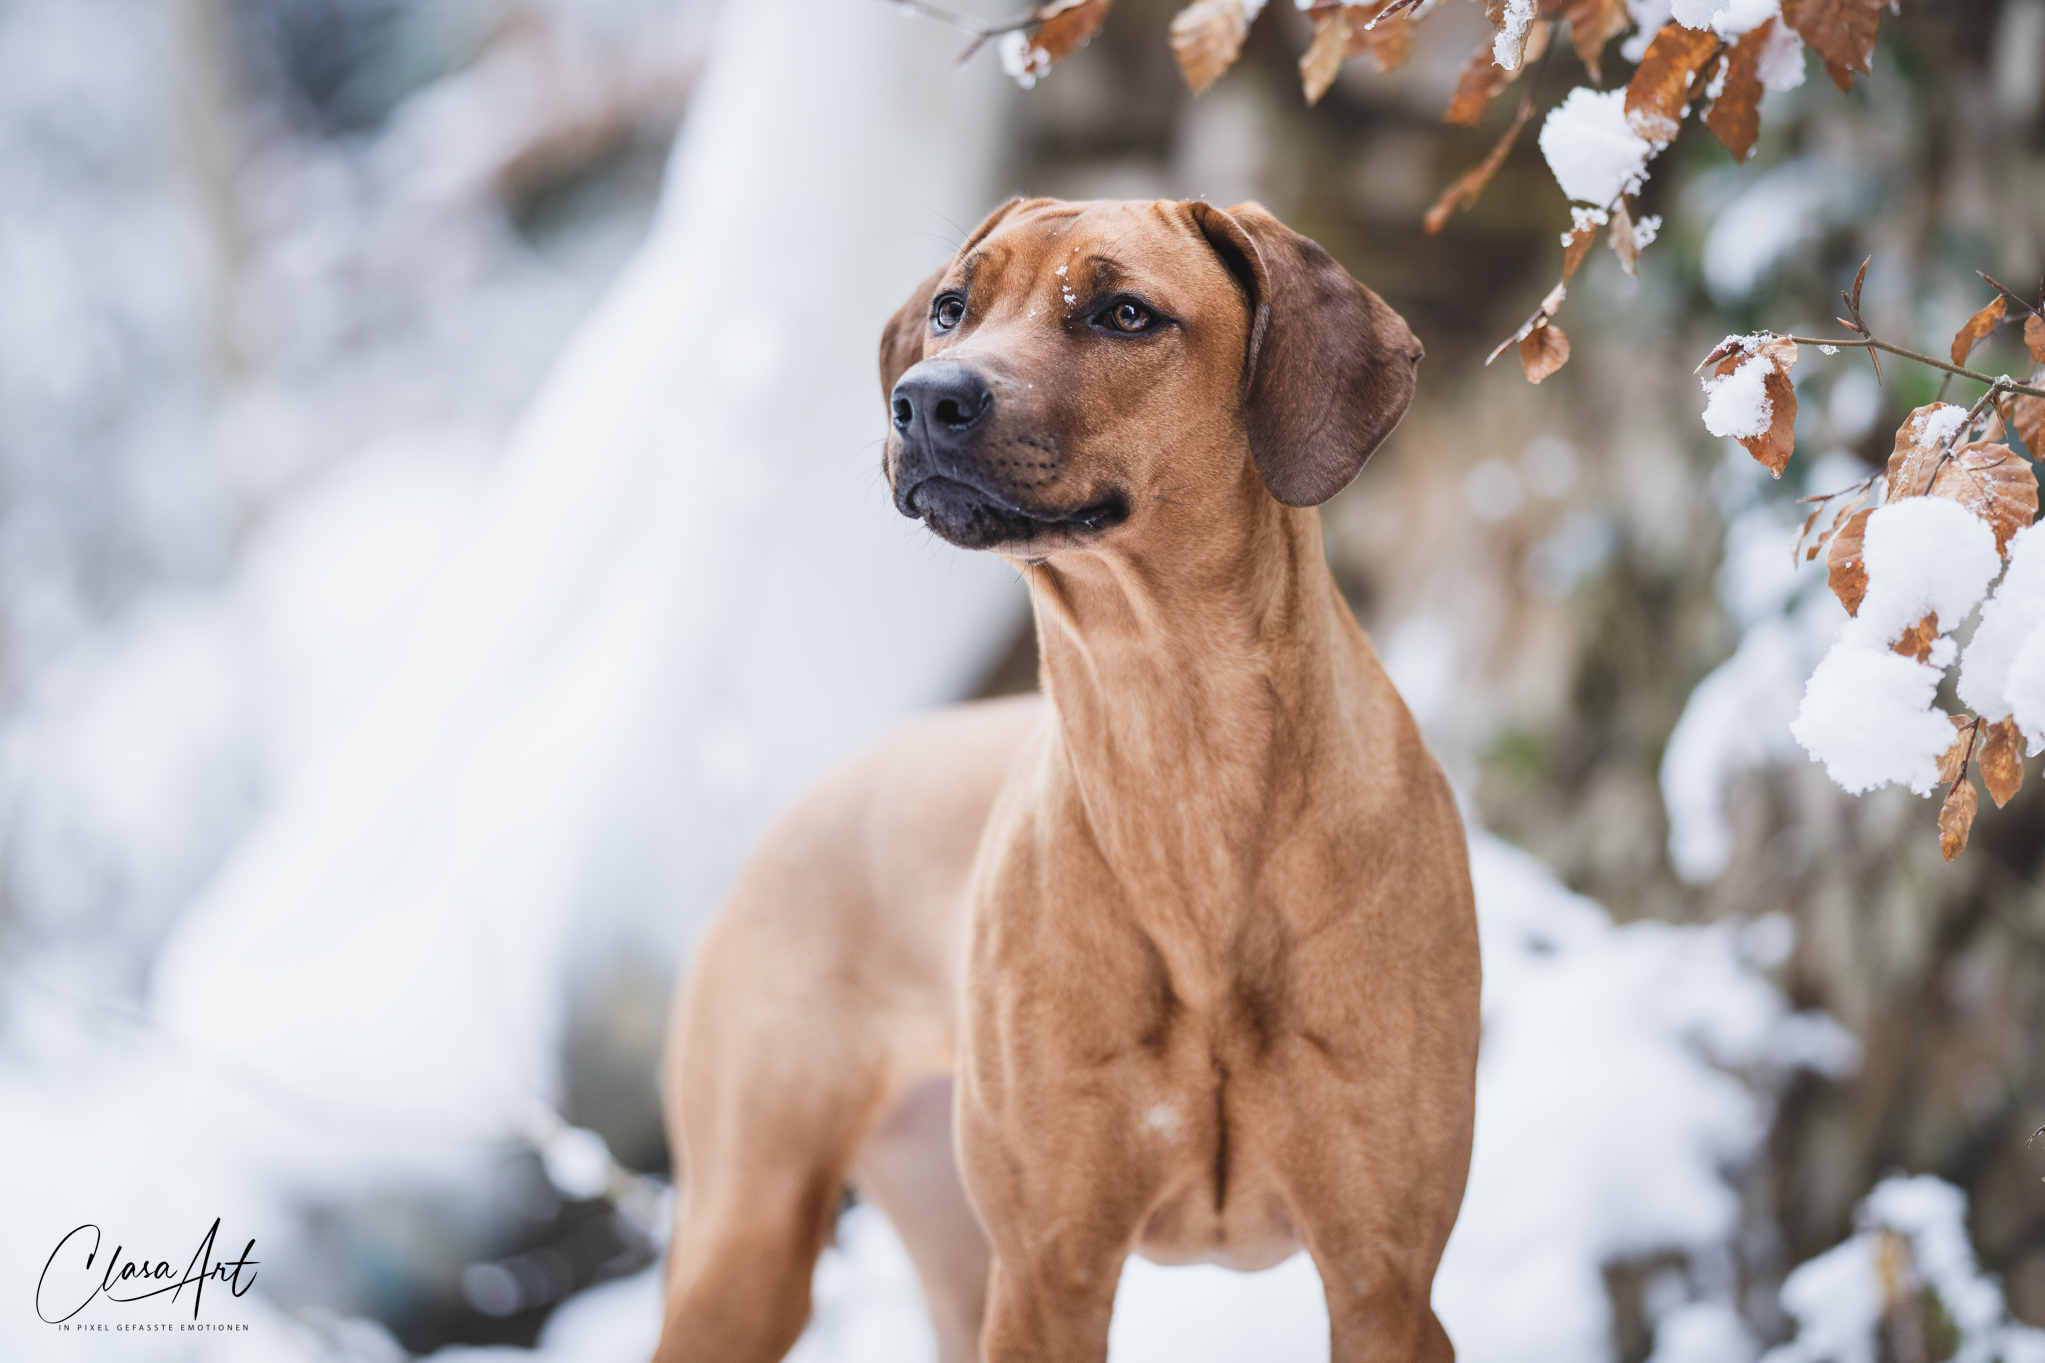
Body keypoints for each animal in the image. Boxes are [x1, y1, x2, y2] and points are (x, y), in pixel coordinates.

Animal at [662, 200, 1480, 1363]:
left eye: (1124, 313)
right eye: (951, 307)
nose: (926, 398)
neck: (1175, 741)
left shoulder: (1384, 1280)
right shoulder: (1050, 1274)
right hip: (754, 1238)